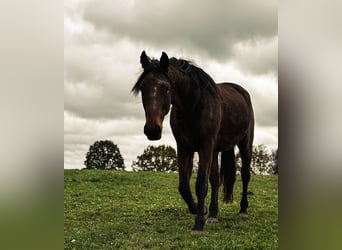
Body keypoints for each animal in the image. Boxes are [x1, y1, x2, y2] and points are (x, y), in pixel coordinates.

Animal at [131, 51, 254, 232]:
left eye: (166, 87)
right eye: (142, 88)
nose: (152, 130)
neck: (193, 106)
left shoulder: (205, 146)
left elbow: (200, 184)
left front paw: (198, 223)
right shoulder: (184, 147)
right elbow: (184, 186)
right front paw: (197, 209)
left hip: (245, 144)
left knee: (245, 175)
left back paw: (243, 209)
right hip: (215, 151)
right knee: (216, 180)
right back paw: (213, 214)